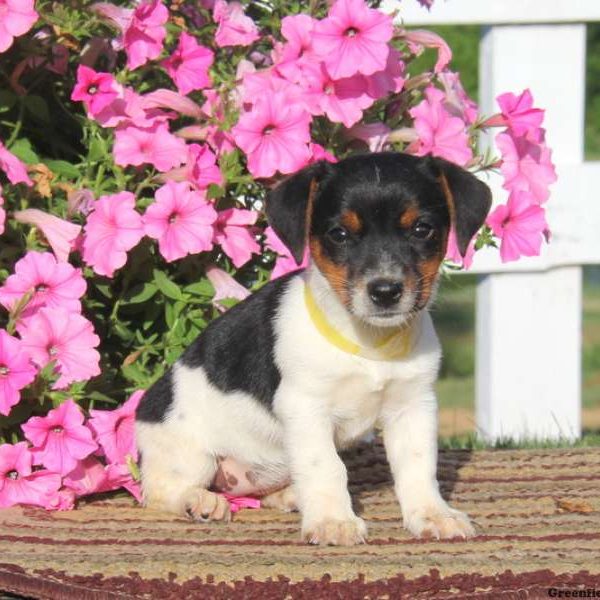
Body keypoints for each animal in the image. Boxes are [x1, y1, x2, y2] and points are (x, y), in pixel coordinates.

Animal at [136, 152, 492, 548]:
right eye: (339, 234)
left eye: (421, 229)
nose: (385, 291)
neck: (369, 343)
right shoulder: (305, 407)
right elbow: (327, 466)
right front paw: (333, 521)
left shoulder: (414, 405)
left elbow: (418, 465)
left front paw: (432, 514)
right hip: (188, 452)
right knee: (159, 491)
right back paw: (199, 502)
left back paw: (290, 496)